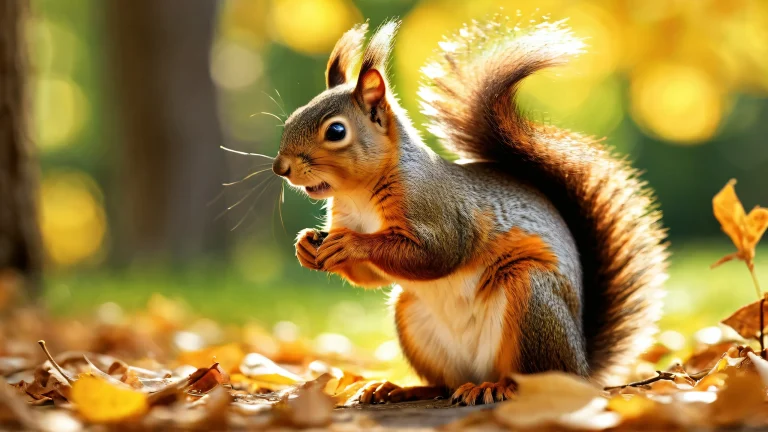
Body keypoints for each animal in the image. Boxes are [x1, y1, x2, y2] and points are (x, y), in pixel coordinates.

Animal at [271, 18, 667, 406]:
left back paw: (498, 388)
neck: (359, 195)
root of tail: (582, 367)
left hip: (531, 299)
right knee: (445, 385)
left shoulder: (439, 210)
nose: (280, 167)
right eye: (291, 121)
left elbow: (437, 254)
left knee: (531, 377)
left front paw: (352, 244)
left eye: (336, 131)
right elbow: (371, 276)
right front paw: (306, 246)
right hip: (413, 318)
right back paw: (401, 390)